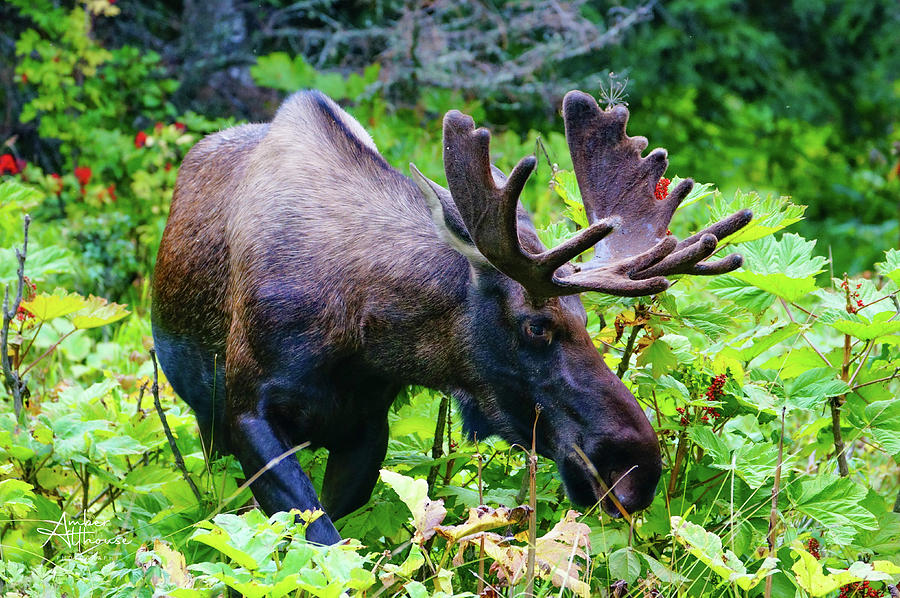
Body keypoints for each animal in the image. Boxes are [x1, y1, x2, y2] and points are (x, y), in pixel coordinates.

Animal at [153, 89, 752, 544]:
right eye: (536, 325)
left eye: (585, 317)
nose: (636, 468)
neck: (356, 337)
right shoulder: (244, 410)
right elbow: (318, 537)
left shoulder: (367, 426)